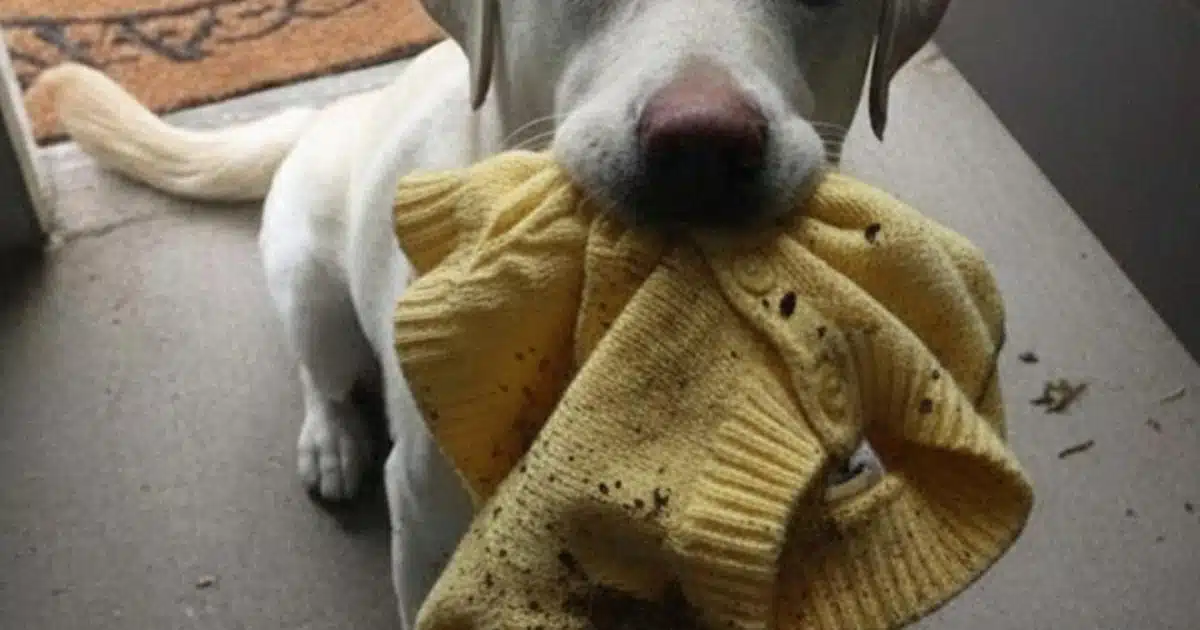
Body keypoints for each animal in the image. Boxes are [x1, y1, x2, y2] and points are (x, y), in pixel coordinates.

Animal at [39, 0, 951, 626]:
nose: (702, 145)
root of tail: (333, 109)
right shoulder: (429, 518)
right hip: (308, 284)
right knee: (320, 372)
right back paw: (331, 439)